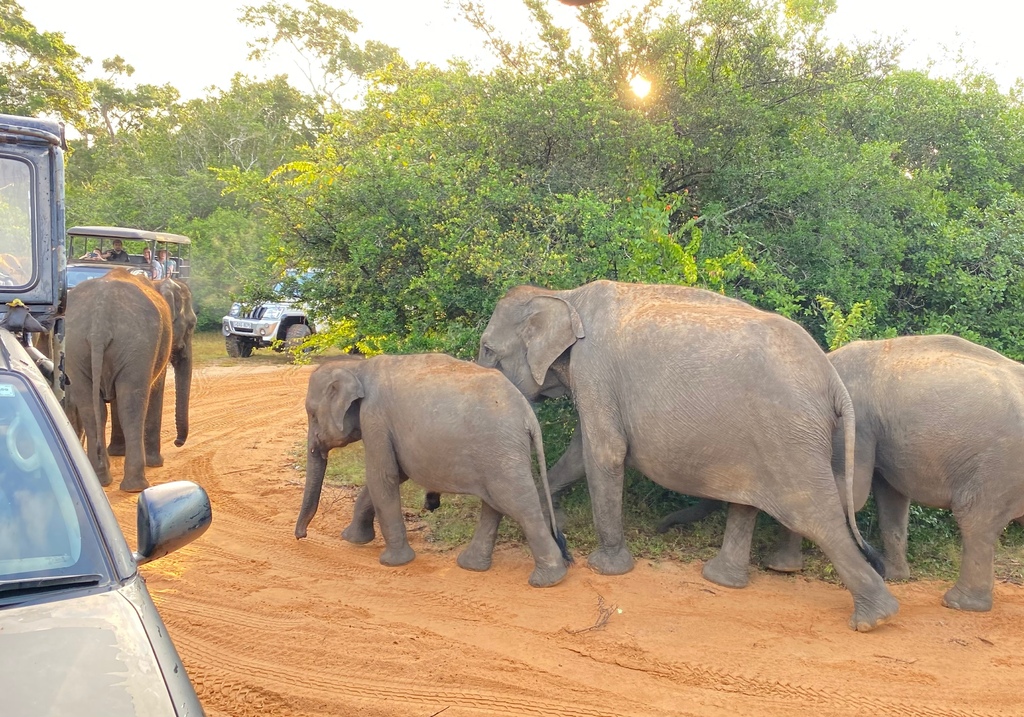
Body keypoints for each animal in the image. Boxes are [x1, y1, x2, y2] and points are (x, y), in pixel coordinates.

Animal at [65, 268, 183, 493]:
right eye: (191, 324)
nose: (178, 443)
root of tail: (99, 321)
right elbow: (154, 389)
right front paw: (156, 463)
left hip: (76, 345)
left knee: (91, 409)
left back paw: (102, 478)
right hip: (136, 345)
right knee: (131, 406)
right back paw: (136, 487)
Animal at [292, 352, 573, 589]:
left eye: (312, 414)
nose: (300, 536)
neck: (356, 367)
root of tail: (528, 415)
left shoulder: (374, 417)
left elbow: (383, 477)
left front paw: (392, 562)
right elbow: (393, 475)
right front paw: (352, 539)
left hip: (501, 450)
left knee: (518, 504)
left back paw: (547, 581)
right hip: (499, 454)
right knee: (495, 503)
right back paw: (472, 566)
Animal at [479, 276, 897, 630]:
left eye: (486, 347)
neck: (564, 296)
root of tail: (832, 381)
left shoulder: (594, 371)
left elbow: (604, 452)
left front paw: (604, 569)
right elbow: (581, 452)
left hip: (791, 437)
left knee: (814, 515)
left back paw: (875, 618)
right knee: (749, 502)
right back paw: (723, 580)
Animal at [659, 333, 1024, 610]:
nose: (662, 526)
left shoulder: (857, 421)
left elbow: (845, 491)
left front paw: (779, 567)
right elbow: (890, 499)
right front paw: (893, 578)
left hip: (999, 465)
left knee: (975, 520)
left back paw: (958, 604)